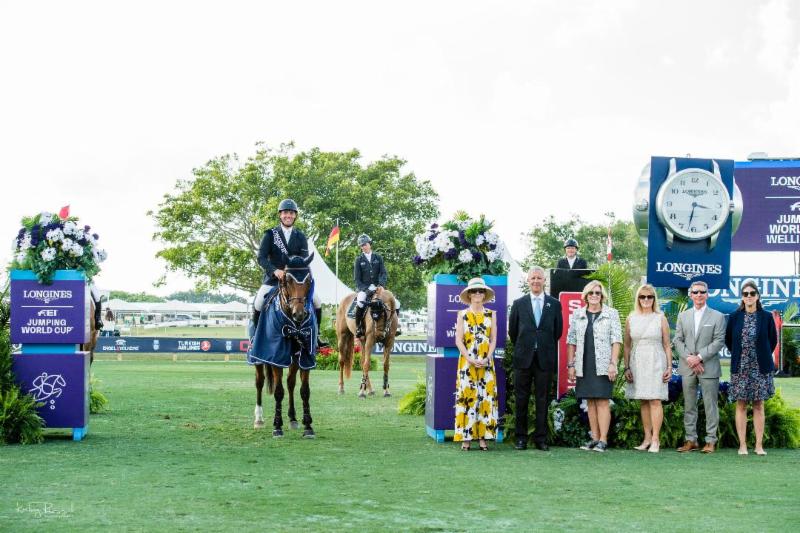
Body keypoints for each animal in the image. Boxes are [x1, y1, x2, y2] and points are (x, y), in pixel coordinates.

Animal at [248, 254, 318, 436]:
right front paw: (277, 426)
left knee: (290, 383)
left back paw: (293, 418)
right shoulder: (275, 356)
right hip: (257, 358)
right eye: (287, 280)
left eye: (309, 280)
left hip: (293, 358)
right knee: (259, 382)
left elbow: (304, 391)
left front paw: (308, 426)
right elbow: (278, 391)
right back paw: (259, 419)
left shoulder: (305, 357)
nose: (299, 314)